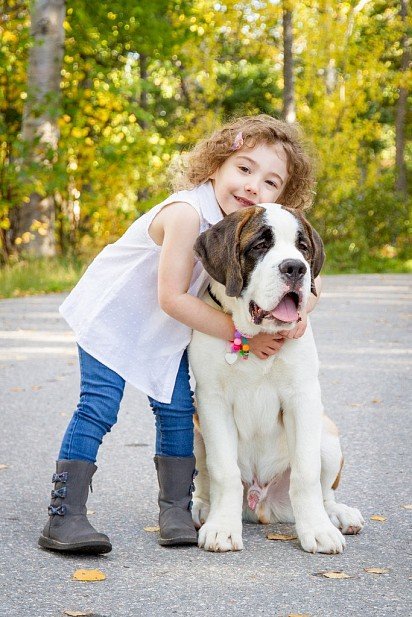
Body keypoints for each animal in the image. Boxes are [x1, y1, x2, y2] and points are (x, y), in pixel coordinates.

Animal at [189, 203, 364, 552]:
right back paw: (202, 508)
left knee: (325, 491)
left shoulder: (303, 398)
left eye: (303, 247)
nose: (295, 268)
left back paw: (337, 515)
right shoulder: (212, 400)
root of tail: (262, 504)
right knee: (203, 480)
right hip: (193, 430)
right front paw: (221, 528)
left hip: (327, 434)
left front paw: (317, 530)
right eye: (260, 245)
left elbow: (306, 473)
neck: (256, 339)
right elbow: (223, 470)